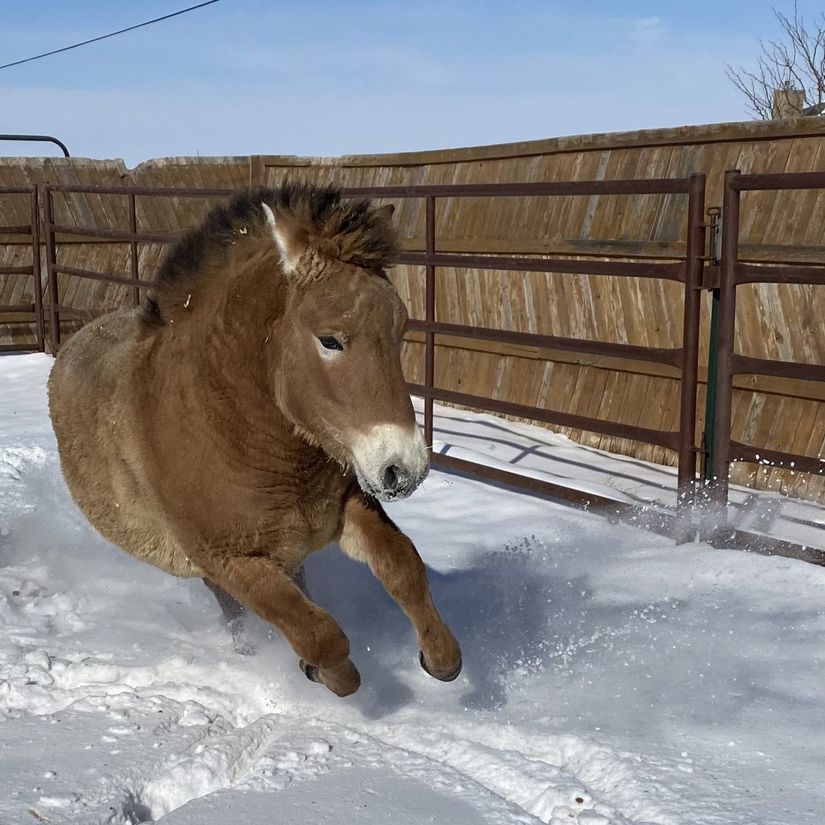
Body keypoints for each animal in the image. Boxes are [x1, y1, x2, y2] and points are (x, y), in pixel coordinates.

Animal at [48, 185, 460, 696]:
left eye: (400, 329)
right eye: (330, 340)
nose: (405, 469)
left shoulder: (349, 507)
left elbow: (403, 566)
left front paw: (441, 658)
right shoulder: (231, 560)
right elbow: (319, 634)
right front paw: (323, 673)